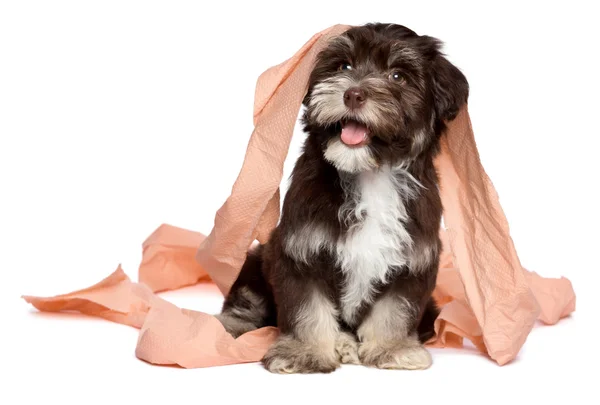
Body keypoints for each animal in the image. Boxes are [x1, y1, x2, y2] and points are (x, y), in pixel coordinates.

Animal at [214, 22, 468, 372]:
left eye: (398, 76)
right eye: (343, 67)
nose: (353, 93)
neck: (371, 174)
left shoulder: (413, 260)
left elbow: (395, 308)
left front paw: (392, 348)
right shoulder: (300, 251)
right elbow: (307, 308)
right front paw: (305, 352)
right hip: (255, 262)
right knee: (247, 298)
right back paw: (231, 325)